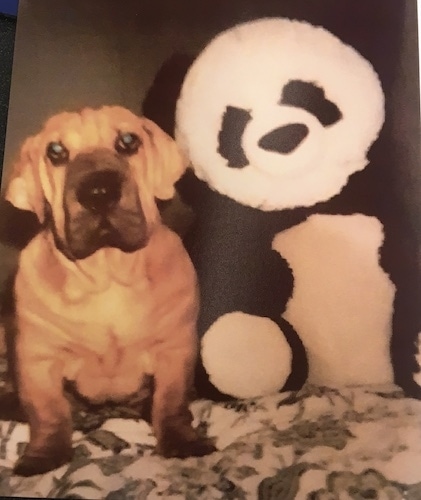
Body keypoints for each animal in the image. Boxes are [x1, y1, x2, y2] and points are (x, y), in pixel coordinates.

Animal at [4, 106, 217, 476]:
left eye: (128, 141)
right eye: (55, 152)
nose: (98, 192)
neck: (107, 275)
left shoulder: (174, 349)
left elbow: (171, 401)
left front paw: (182, 440)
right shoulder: (38, 359)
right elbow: (49, 412)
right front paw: (43, 455)